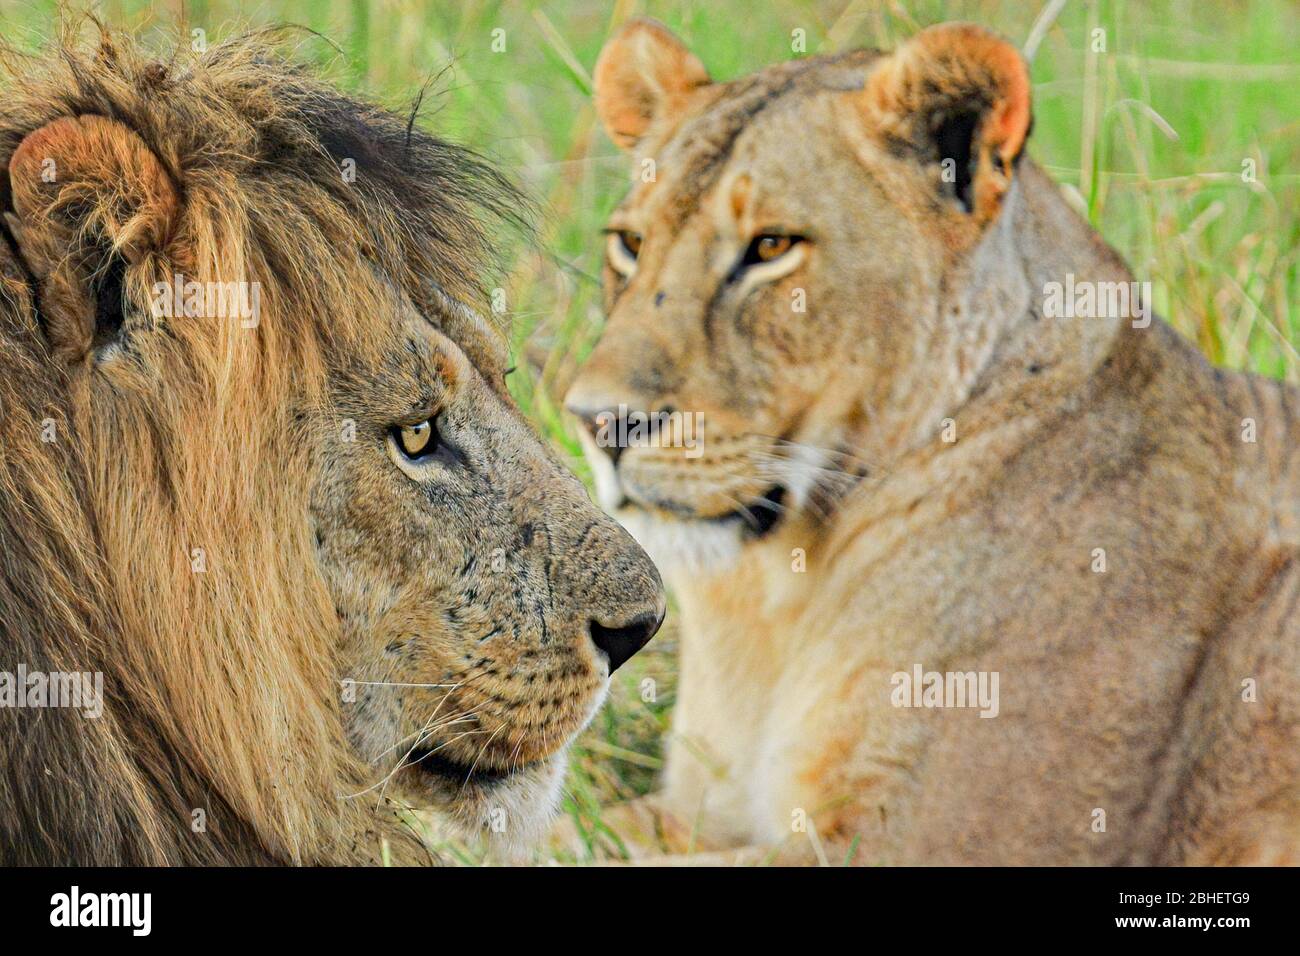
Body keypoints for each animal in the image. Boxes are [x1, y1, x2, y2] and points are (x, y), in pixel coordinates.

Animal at [562, 19, 1300, 865]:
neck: (777, 598)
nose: (597, 422)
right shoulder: (692, 808)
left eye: (772, 247)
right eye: (629, 243)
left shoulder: (931, 839)